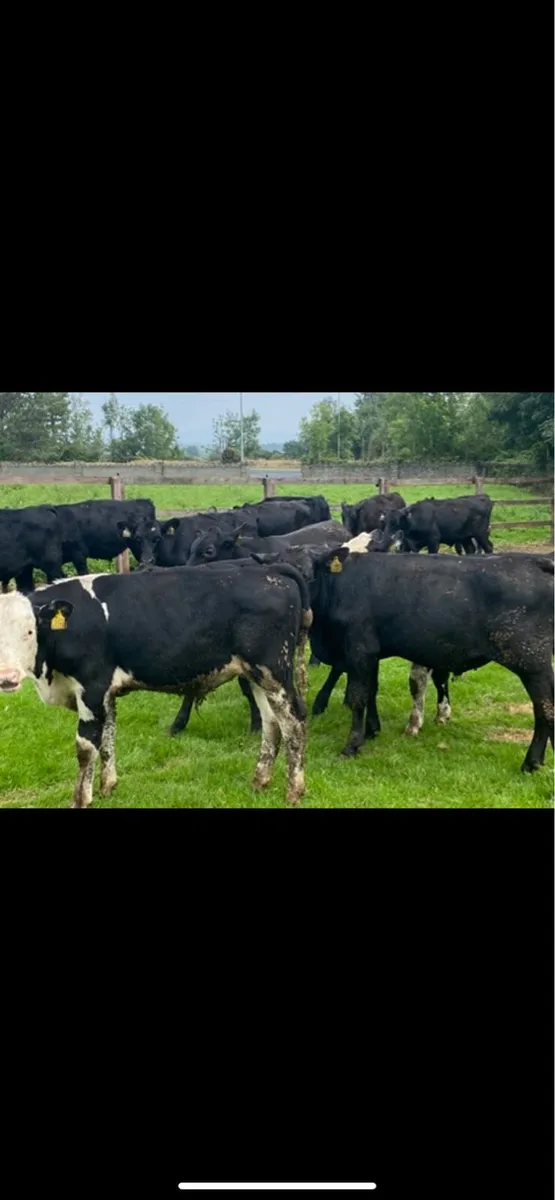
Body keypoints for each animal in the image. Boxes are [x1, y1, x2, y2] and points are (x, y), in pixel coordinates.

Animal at [0, 560, 312, 807]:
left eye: (29, 632)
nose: (7, 677)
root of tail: (269, 570)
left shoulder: (92, 687)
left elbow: (86, 747)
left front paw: (81, 799)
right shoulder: (106, 693)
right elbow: (108, 736)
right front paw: (107, 786)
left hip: (273, 670)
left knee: (293, 721)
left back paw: (294, 792)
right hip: (256, 675)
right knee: (271, 722)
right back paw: (259, 781)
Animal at [256, 545, 554, 773]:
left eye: (309, 575)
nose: (299, 609)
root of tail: (533, 561)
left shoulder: (359, 649)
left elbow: (358, 696)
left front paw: (352, 744)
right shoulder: (371, 653)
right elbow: (372, 691)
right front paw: (372, 730)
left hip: (532, 661)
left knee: (544, 707)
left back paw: (531, 762)